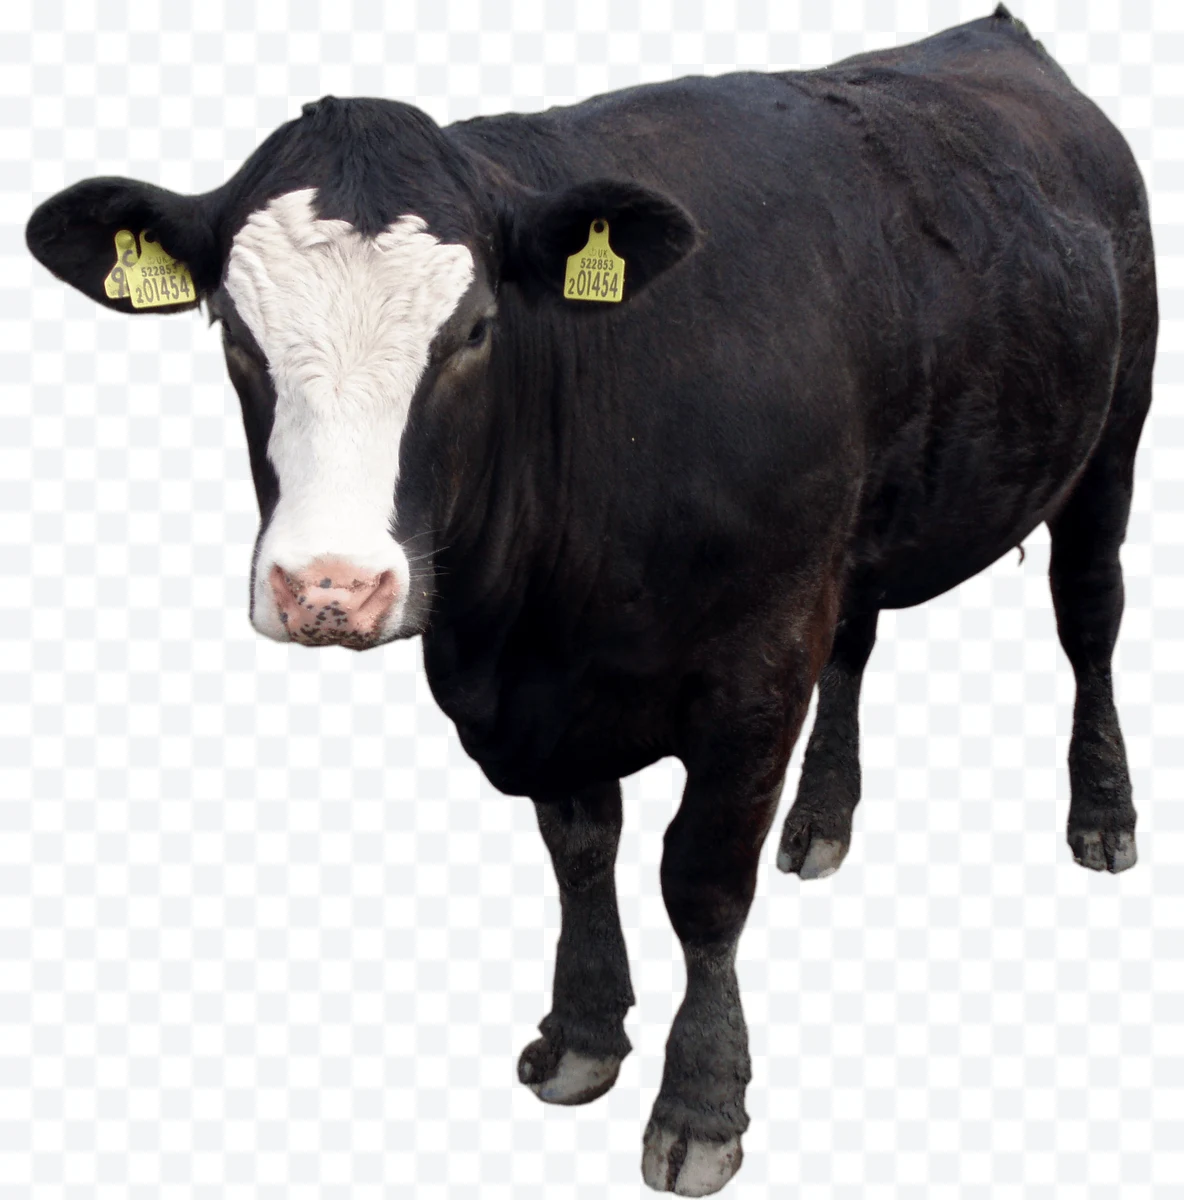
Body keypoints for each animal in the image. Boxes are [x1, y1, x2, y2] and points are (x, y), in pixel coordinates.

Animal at [25, 6, 1156, 1195]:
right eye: (234, 335)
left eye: (476, 329)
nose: (329, 586)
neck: (525, 624)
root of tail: (994, 37)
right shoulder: (549, 692)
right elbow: (580, 851)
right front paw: (581, 1035)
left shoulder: (755, 664)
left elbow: (699, 881)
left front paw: (700, 1102)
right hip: (866, 529)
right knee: (857, 641)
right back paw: (821, 819)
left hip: (1111, 436)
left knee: (1089, 618)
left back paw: (1101, 814)